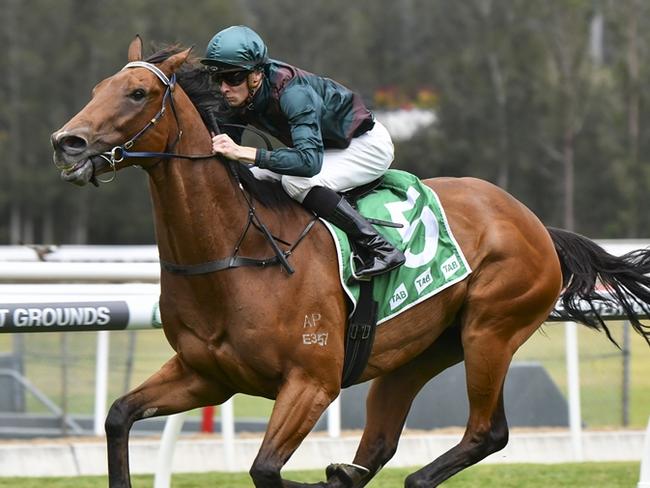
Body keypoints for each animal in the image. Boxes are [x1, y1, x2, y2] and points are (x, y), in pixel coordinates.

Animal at [50, 38, 648, 488]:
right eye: (97, 89)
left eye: (137, 92)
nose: (66, 142)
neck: (236, 255)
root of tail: (535, 223)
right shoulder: (206, 375)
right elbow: (118, 416)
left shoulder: (312, 382)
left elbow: (265, 470)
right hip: (420, 353)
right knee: (382, 443)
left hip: (491, 330)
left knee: (486, 432)